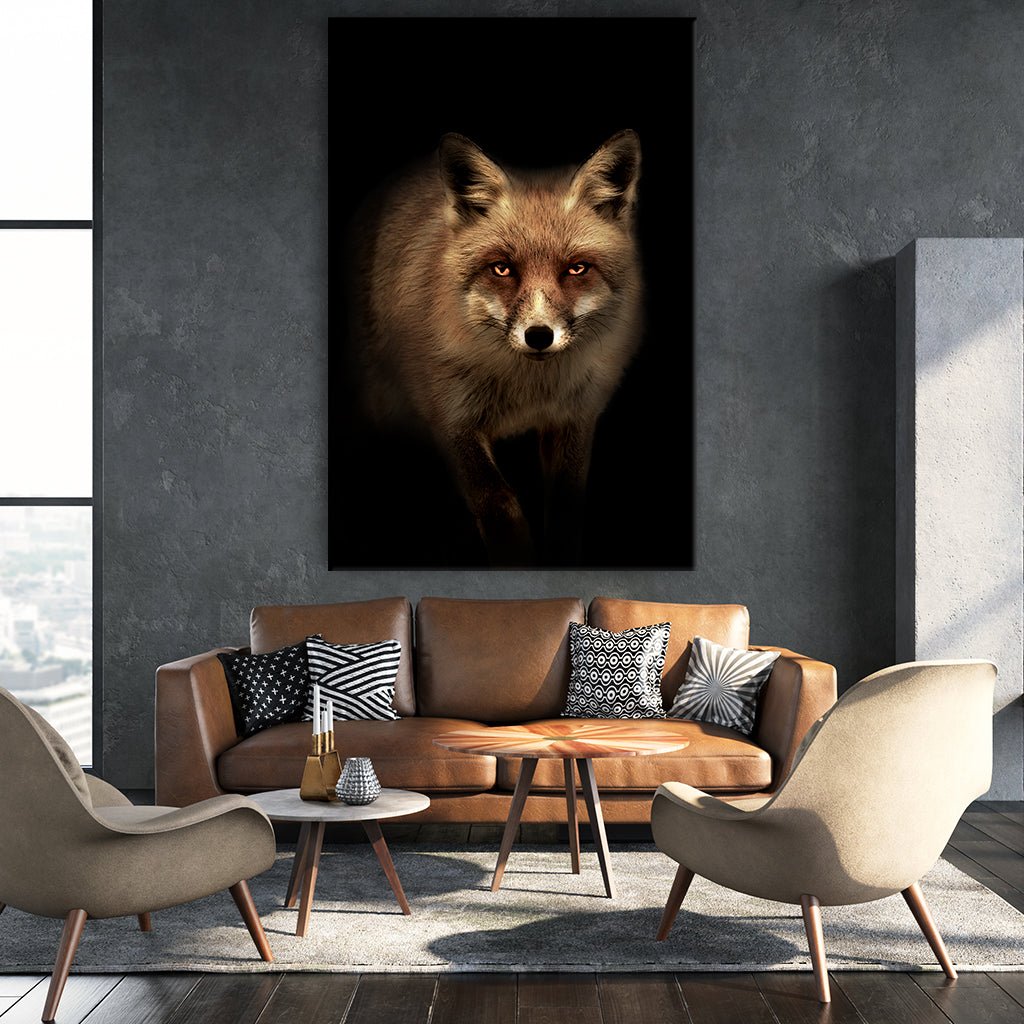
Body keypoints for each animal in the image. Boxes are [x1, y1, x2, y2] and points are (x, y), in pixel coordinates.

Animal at [351, 130, 644, 565]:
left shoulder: (576, 415)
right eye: (502, 268)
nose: (538, 335)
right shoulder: (450, 418)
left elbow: (565, 509)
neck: (527, 391)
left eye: (576, 268)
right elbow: (500, 506)